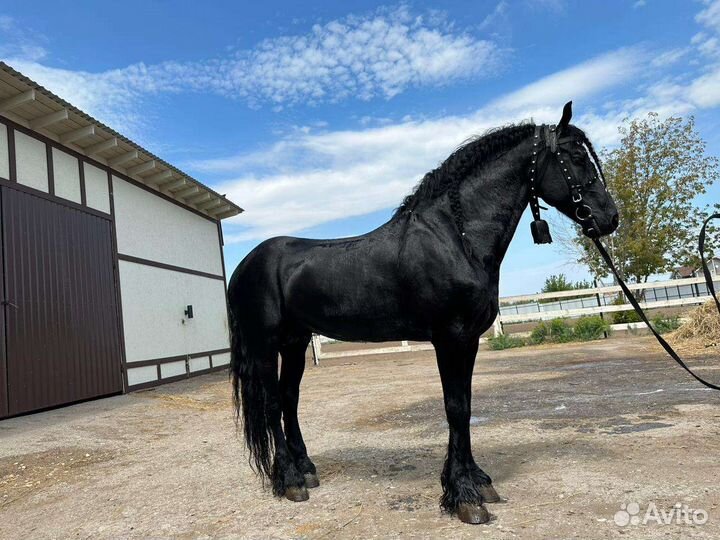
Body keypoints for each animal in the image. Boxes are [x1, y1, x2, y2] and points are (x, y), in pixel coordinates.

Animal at [228, 102, 619, 525]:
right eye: (576, 157)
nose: (609, 218)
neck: (455, 238)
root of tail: (245, 265)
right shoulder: (449, 338)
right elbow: (455, 408)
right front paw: (464, 497)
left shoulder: (468, 341)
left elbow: (465, 405)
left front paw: (476, 481)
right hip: (265, 345)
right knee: (271, 405)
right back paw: (289, 481)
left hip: (295, 343)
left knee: (289, 399)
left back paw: (306, 470)